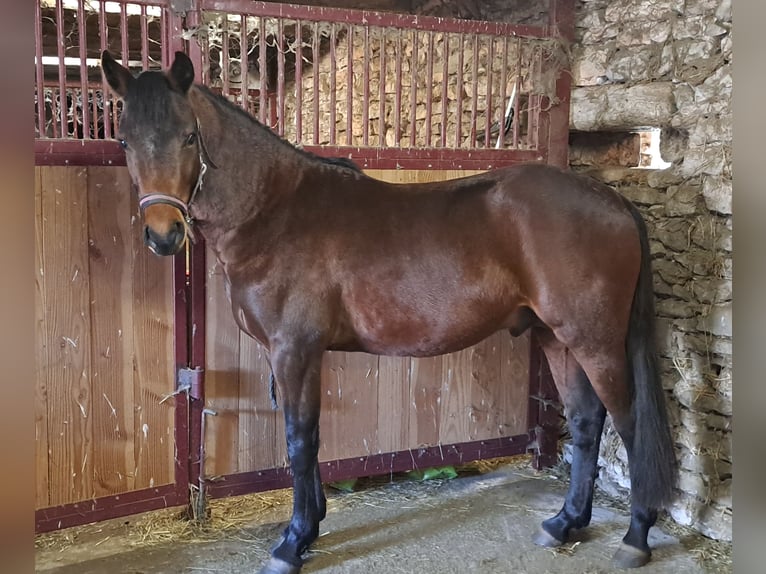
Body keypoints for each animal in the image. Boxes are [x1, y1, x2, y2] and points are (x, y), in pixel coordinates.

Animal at [100, 50, 680, 574]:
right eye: (124, 140)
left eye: (188, 137)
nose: (163, 235)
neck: (274, 212)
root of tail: (611, 200)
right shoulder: (294, 355)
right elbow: (309, 438)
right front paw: (312, 525)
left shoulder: (294, 351)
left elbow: (298, 439)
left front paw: (292, 543)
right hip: (557, 338)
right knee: (586, 421)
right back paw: (565, 523)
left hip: (595, 341)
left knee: (629, 426)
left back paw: (635, 537)